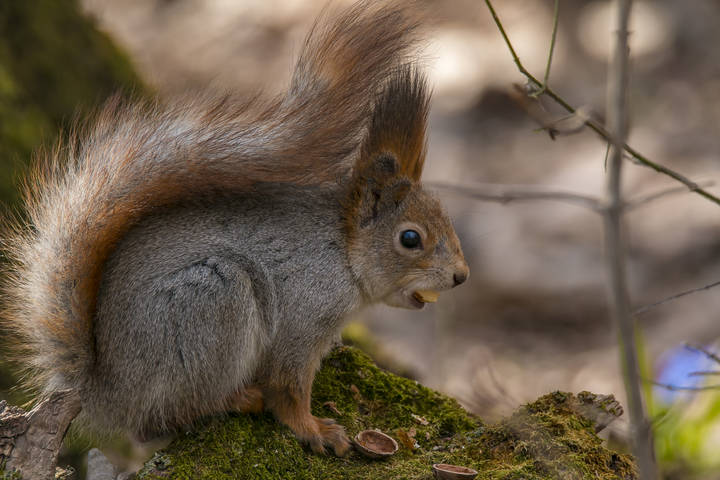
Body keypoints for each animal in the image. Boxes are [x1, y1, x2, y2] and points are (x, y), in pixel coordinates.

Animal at [1, 0, 469, 456]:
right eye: (410, 239)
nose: (461, 276)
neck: (342, 251)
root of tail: (106, 392)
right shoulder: (303, 318)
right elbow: (288, 387)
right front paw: (314, 430)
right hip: (213, 302)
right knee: (167, 414)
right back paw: (236, 398)